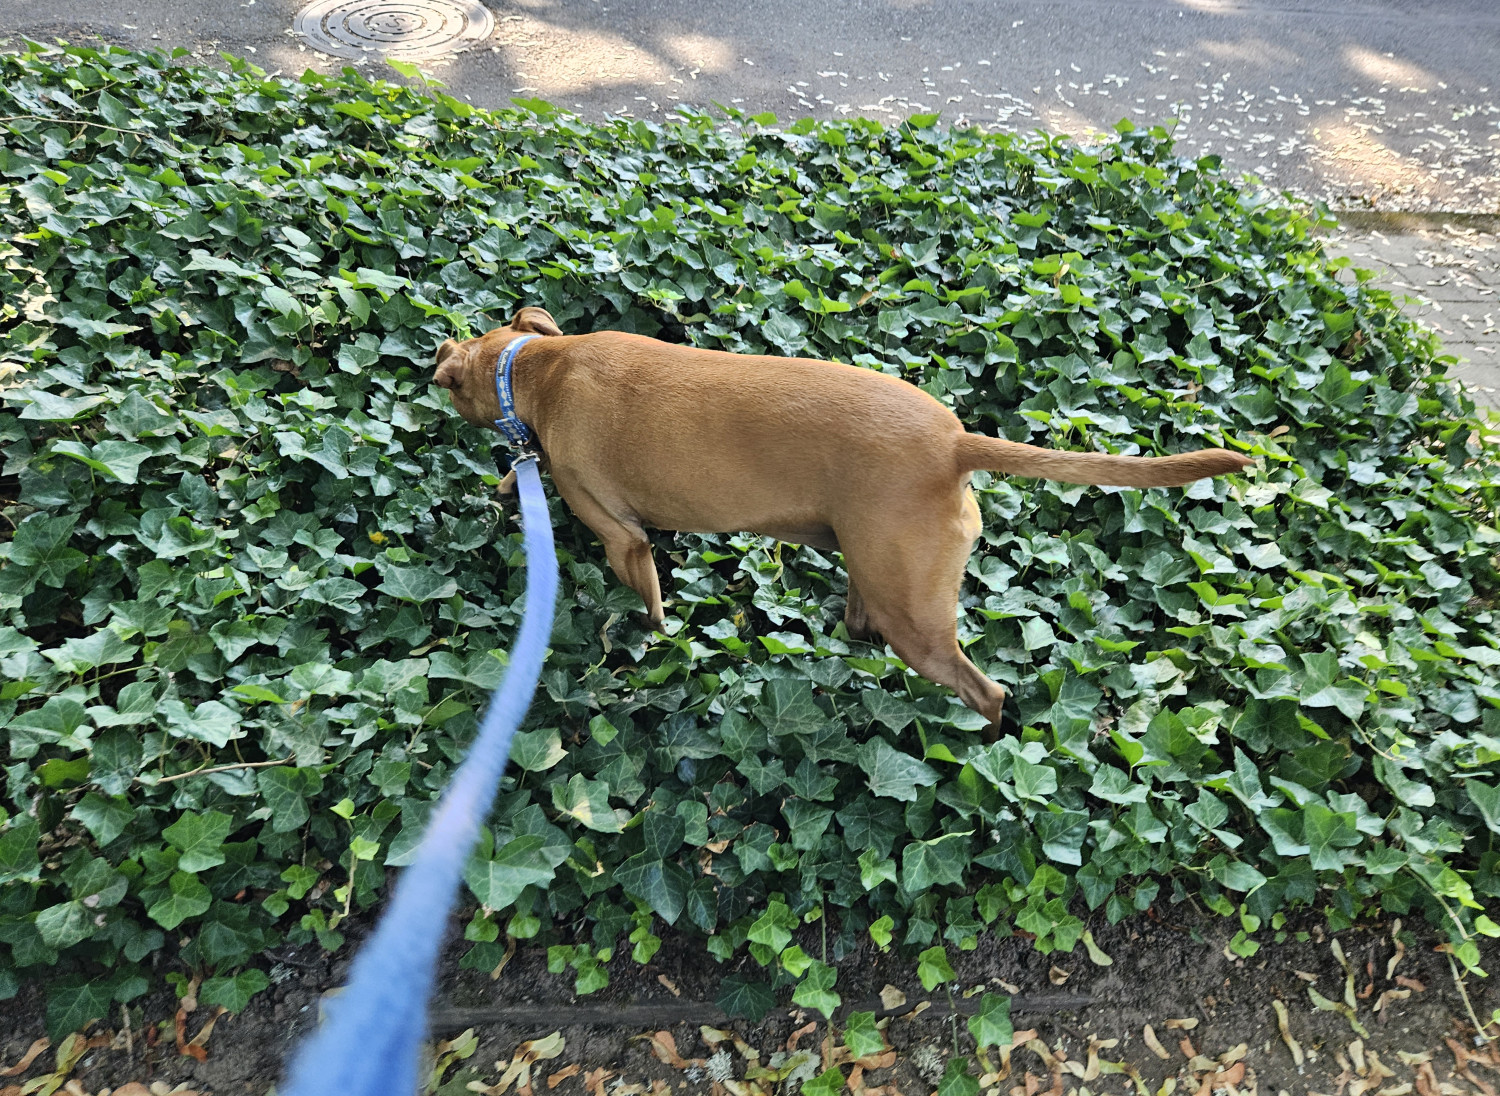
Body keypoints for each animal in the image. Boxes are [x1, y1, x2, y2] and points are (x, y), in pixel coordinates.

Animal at [435, 305, 1254, 728]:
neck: (535, 367)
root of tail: (953, 442)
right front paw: (503, 486)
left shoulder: (621, 537)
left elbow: (651, 606)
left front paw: (650, 644)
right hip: (873, 561)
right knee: (864, 624)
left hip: (912, 611)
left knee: (985, 692)